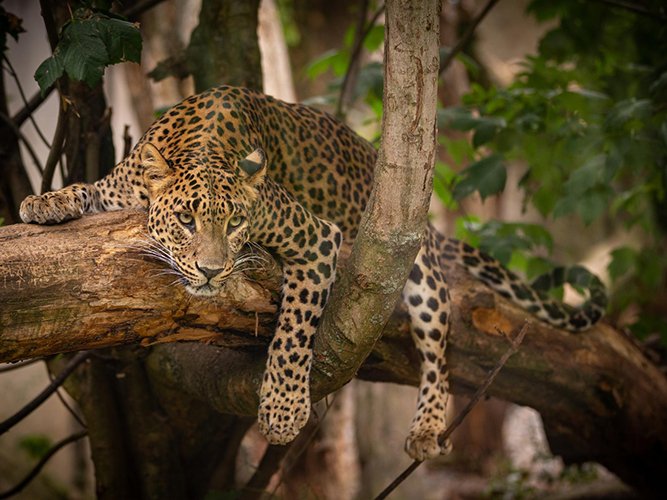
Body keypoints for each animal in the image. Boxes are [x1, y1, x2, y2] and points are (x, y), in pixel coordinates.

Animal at [20, 85, 606, 461]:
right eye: (186, 220)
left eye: (236, 223)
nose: (211, 271)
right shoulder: (119, 188)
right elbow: (88, 190)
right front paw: (44, 202)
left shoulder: (316, 237)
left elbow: (294, 333)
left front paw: (282, 411)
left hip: (415, 266)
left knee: (440, 349)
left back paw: (427, 425)